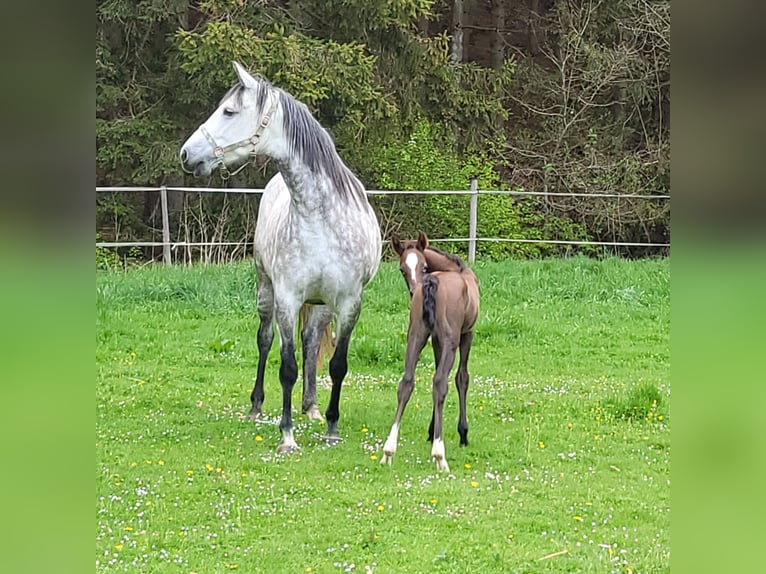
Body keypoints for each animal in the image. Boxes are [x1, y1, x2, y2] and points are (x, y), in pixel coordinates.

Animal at [180, 62, 381, 452]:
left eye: (229, 112)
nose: (186, 154)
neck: (319, 217)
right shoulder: (287, 299)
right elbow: (286, 366)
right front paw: (287, 436)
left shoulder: (349, 302)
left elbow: (337, 365)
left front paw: (332, 428)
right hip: (266, 291)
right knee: (265, 340)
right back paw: (257, 406)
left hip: (321, 304)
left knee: (312, 342)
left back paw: (312, 407)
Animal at [381, 231, 479, 472]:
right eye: (402, 269)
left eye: (424, 266)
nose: (413, 290)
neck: (456, 270)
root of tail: (432, 284)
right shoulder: (467, 334)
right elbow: (461, 378)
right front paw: (463, 433)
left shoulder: (434, 339)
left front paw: (431, 429)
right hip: (451, 340)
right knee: (441, 382)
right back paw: (439, 455)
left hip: (415, 336)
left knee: (407, 383)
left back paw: (388, 451)